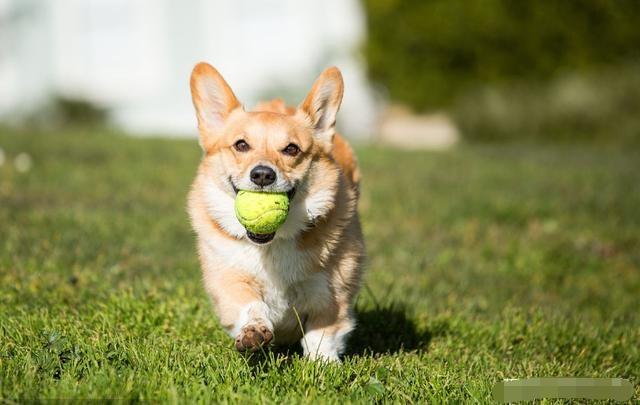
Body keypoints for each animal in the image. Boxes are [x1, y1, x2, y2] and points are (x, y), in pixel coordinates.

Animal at [185, 62, 364, 360]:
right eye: (241, 145)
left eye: (291, 149)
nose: (262, 175)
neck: (272, 244)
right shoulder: (230, 281)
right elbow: (250, 305)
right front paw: (254, 332)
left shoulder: (331, 294)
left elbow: (322, 334)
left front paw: (323, 364)